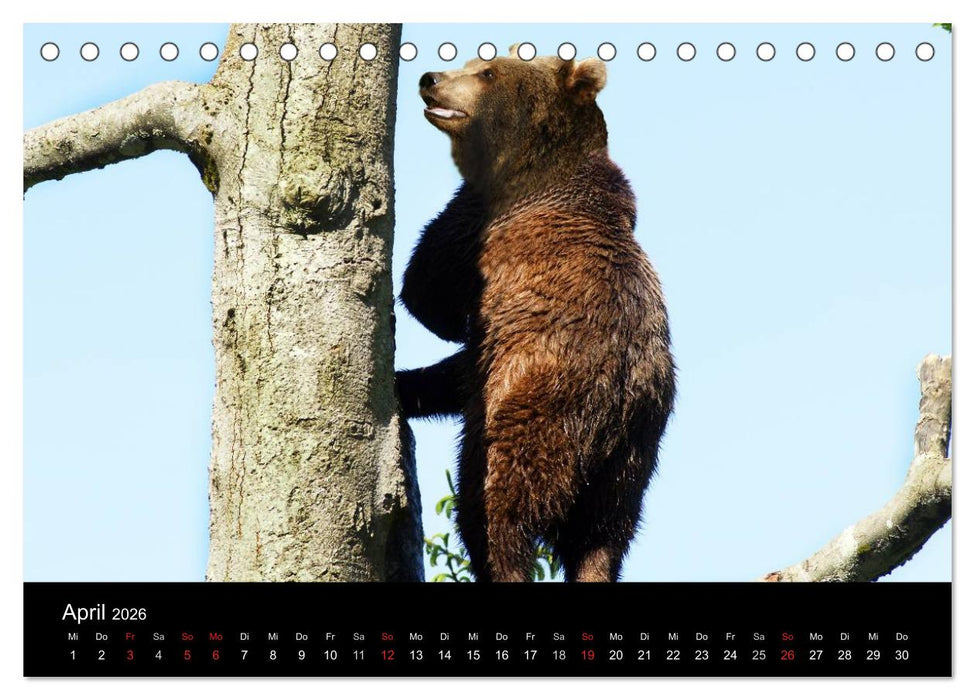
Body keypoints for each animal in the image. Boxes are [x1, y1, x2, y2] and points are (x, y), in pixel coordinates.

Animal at [397, 47, 675, 583]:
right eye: (471, 61)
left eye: (486, 72)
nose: (430, 78)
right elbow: (453, 365)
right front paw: (408, 385)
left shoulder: (489, 237)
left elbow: (429, 295)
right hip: (630, 466)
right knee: (603, 541)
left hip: (536, 403)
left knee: (493, 506)